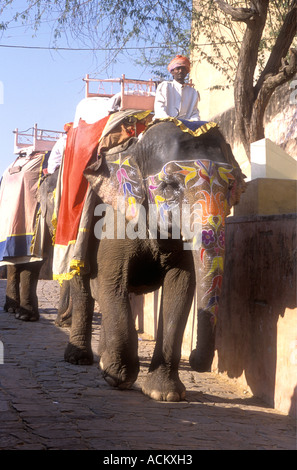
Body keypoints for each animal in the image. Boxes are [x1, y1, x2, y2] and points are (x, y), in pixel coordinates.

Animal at [47, 119, 244, 402]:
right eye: (170, 186)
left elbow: (180, 288)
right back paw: (80, 359)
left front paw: (165, 395)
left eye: (230, 188)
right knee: (86, 288)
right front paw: (117, 377)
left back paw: (102, 358)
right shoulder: (115, 220)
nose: (198, 362)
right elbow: (112, 280)